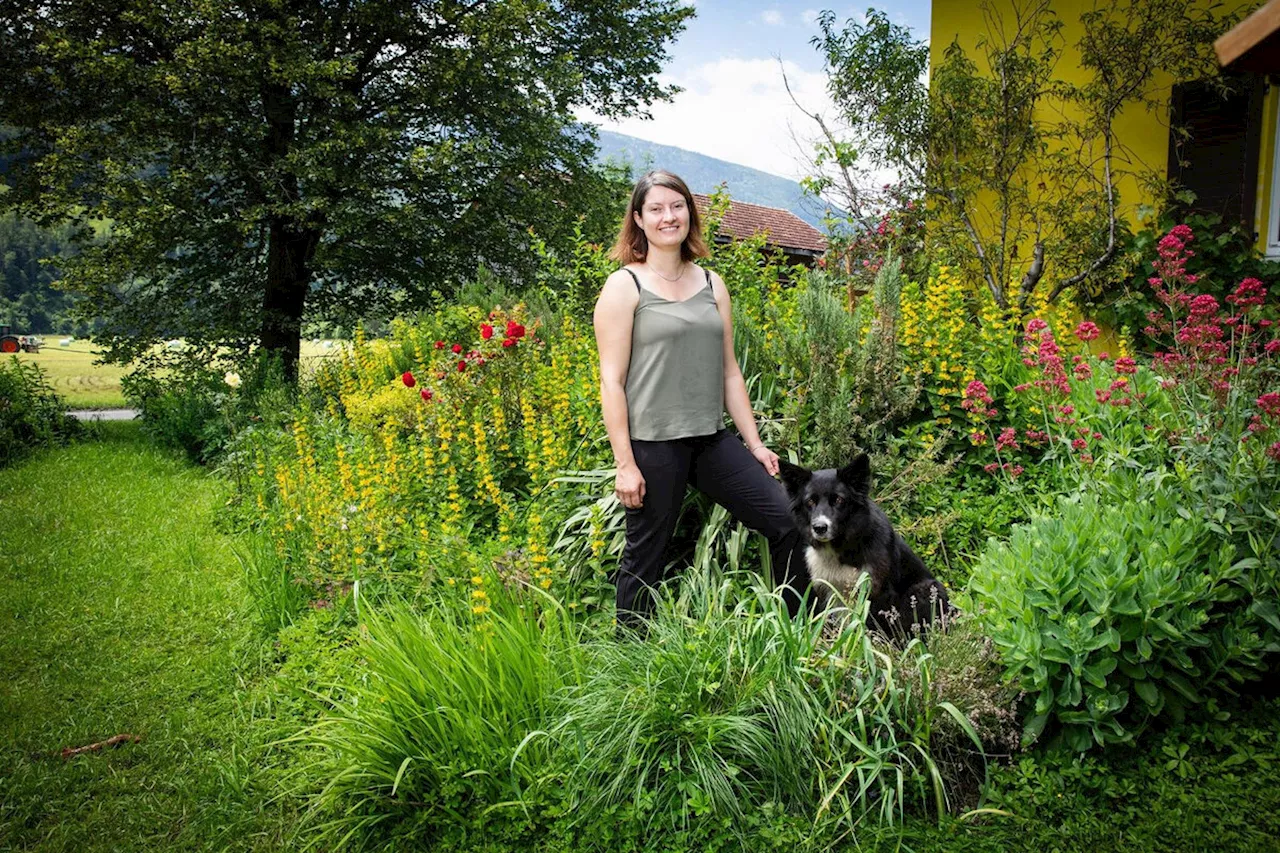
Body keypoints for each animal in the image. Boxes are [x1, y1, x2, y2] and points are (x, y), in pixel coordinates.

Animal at [778, 450, 952, 630]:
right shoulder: (827, 589)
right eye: (810, 501)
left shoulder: (876, 590)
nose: (819, 528)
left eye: (839, 500)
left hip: (927, 588)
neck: (843, 546)